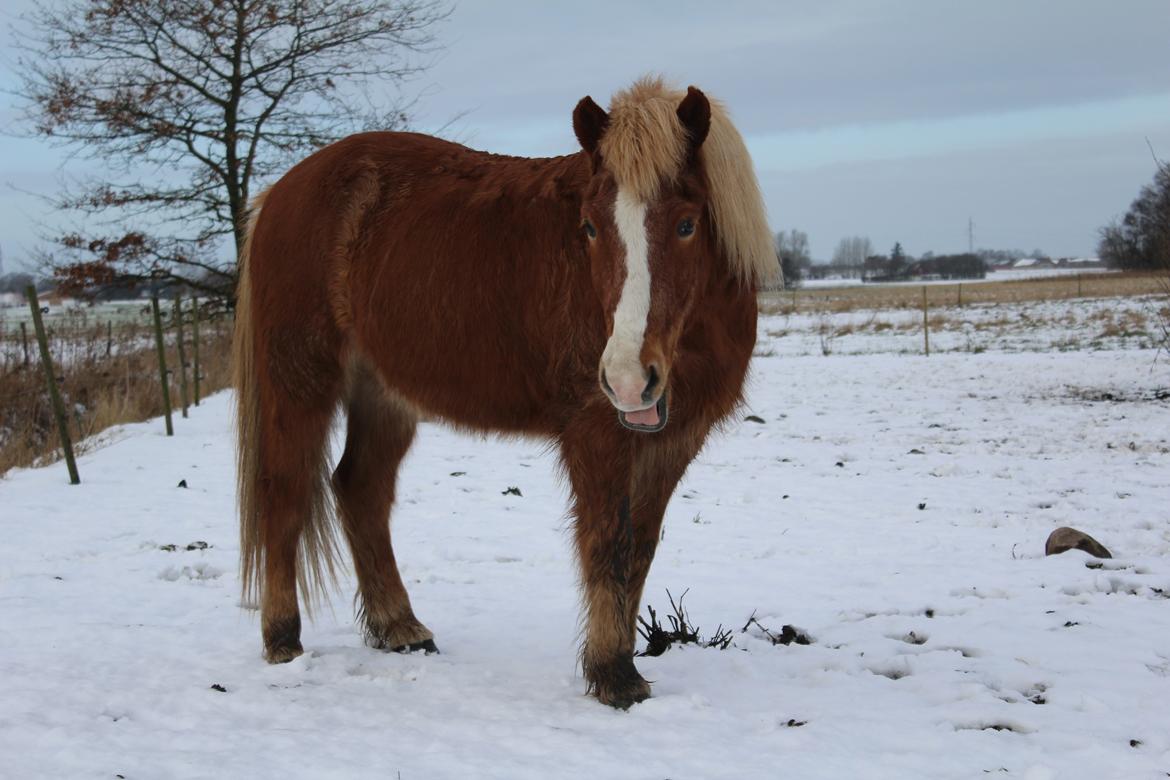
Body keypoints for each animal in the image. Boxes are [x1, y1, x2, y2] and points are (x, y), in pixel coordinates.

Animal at [232, 77, 776, 706]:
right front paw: (613, 676)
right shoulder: (597, 434)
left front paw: (622, 665)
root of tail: (280, 193)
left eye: (688, 224)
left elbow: (640, 549)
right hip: (301, 381)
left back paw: (400, 628)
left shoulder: (673, 442)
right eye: (590, 227)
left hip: (384, 394)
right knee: (285, 494)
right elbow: (608, 545)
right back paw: (282, 639)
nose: (626, 379)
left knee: (359, 488)